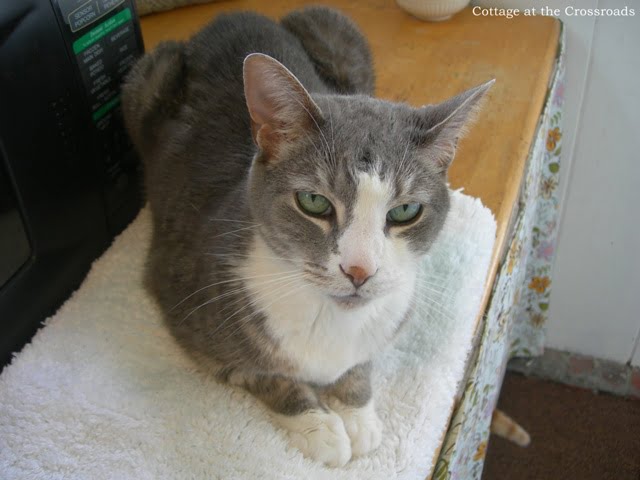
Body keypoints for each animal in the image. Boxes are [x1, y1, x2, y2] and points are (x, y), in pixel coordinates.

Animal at [122, 5, 492, 466]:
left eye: (405, 211)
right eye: (314, 202)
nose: (359, 270)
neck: (330, 320)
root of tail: (234, 14)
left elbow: (360, 363)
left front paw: (357, 413)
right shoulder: (186, 300)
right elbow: (260, 373)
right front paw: (320, 427)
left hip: (338, 31)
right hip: (145, 80)